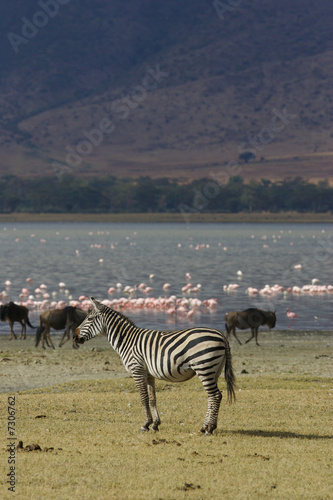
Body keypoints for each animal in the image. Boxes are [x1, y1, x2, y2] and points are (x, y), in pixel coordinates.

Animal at [74, 296, 235, 434]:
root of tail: (221, 336)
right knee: (212, 397)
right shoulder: (149, 374)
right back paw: (205, 427)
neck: (127, 341)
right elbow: (152, 399)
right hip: (214, 370)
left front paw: (145, 425)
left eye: (89, 319)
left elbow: (143, 398)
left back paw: (209, 428)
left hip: (204, 366)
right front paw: (155, 425)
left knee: (215, 395)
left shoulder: (137, 370)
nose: (75, 337)